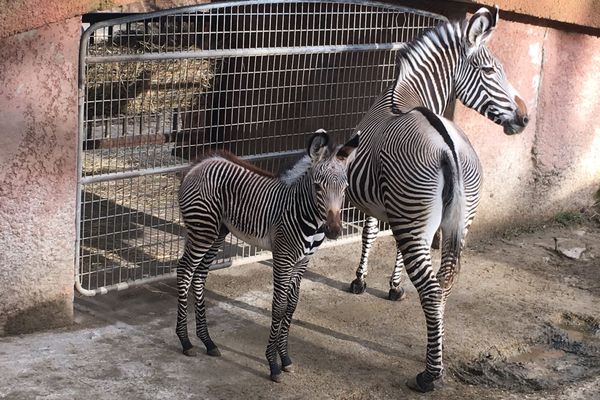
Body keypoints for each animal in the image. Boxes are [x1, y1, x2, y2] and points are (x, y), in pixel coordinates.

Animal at [176, 130, 358, 382]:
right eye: (317, 186)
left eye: (345, 187)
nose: (334, 231)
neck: (305, 212)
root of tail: (198, 164)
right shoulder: (283, 257)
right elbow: (279, 307)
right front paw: (273, 364)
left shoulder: (303, 261)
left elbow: (291, 306)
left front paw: (286, 359)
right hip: (203, 229)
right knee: (185, 271)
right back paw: (185, 342)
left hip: (218, 231)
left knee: (200, 275)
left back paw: (208, 342)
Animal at [344, 7, 528, 392]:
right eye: (490, 71)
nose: (524, 118)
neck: (408, 94)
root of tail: (449, 147)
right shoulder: (400, 209)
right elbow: (384, 241)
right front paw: (390, 286)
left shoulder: (378, 202)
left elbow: (370, 234)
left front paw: (365, 282)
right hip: (458, 221)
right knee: (444, 284)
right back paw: (435, 352)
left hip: (414, 214)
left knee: (430, 288)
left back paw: (429, 375)